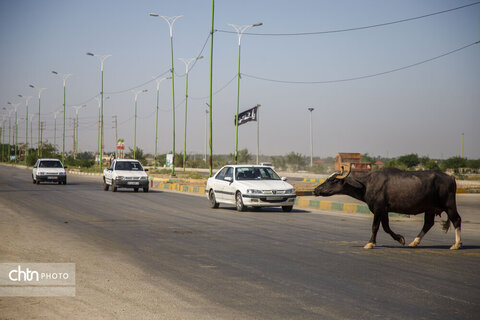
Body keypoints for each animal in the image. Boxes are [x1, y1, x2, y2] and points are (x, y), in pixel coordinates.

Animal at [316, 166, 462, 249]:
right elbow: (386, 227)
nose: (316, 190)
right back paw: (414, 242)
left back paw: (456, 244)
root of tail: (451, 177)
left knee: (456, 220)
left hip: (449, 205)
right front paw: (400, 238)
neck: (367, 184)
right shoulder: (384, 210)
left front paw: (370, 243)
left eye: (333, 180)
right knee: (428, 223)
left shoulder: (378, 209)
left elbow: (375, 227)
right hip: (430, 209)